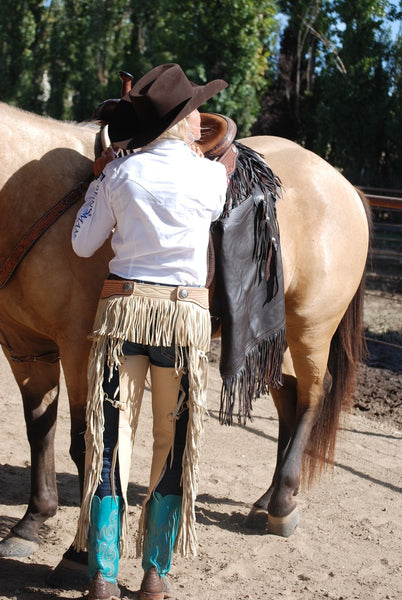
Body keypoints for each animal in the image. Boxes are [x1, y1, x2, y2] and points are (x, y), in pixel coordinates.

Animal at [0, 102, 370, 576]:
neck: (32, 195)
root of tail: (343, 184)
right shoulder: (25, 348)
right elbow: (39, 429)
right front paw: (32, 522)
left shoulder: (81, 347)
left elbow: (87, 441)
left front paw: (78, 554)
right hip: (275, 336)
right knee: (289, 401)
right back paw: (266, 500)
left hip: (312, 326)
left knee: (313, 397)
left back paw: (283, 504)